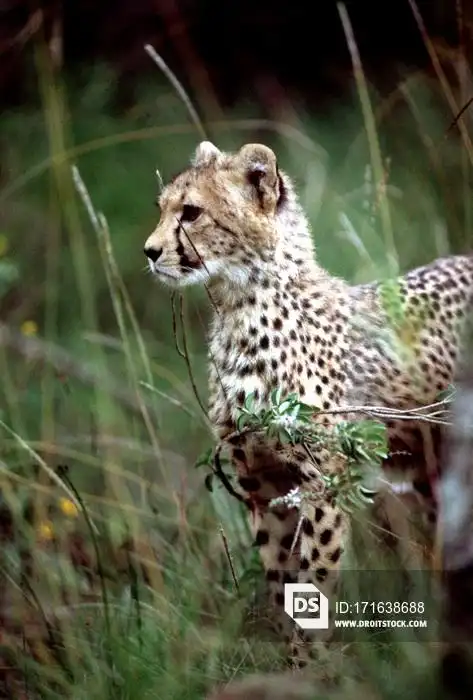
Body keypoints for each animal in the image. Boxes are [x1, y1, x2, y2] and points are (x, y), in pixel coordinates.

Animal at [143, 140, 473, 665]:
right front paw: (286, 658)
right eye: (162, 208)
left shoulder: (324, 481)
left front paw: (307, 663)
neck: (241, 304)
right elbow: (281, 576)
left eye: (191, 212)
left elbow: (315, 577)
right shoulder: (261, 483)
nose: (151, 252)